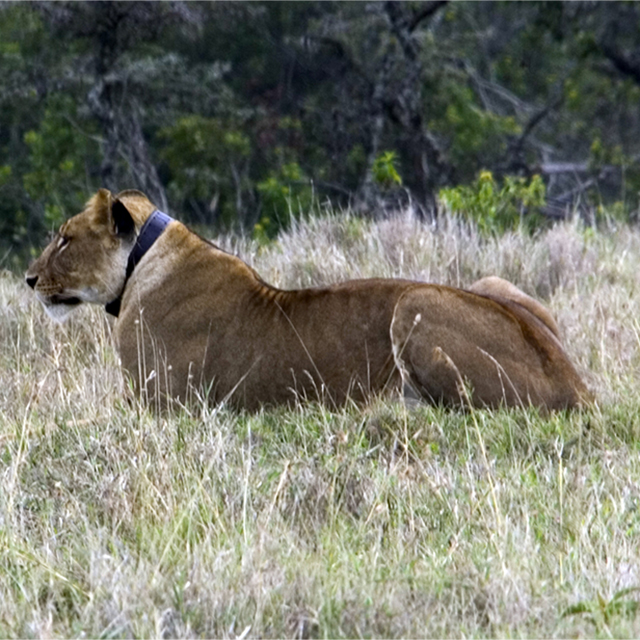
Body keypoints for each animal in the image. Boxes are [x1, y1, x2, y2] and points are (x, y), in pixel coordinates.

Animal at [25, 189, 591, 411]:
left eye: (65, 239)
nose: (29, 279)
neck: (144, 260)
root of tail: (576, 384)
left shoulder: (162, 406)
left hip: (413, 302)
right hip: (495, 282)